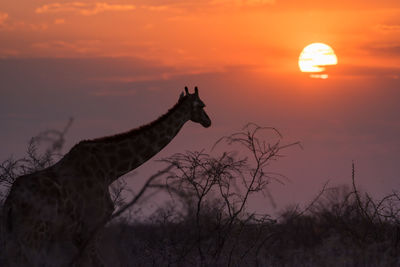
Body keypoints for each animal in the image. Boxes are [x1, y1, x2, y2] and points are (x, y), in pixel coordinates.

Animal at [2, 87, 212, 266]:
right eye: (202, 105)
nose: (208, 121)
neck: (109, 169)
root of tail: (11, 200)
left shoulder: (79, 234)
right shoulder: (90, 226)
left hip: (14, 234)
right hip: (34, 233)